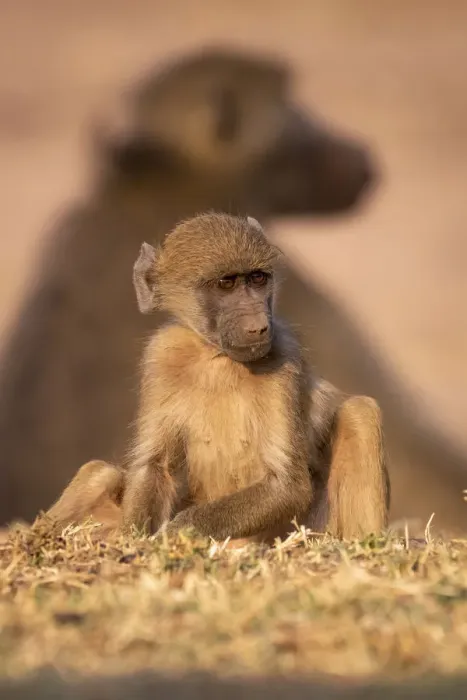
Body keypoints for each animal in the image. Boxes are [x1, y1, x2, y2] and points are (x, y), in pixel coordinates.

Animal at [0, 48, 464, 533]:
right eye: (225, 283)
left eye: (258, 279)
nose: (362, 159)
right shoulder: (164, 353)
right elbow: (155, 465)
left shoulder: (287, 345)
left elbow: (287, 482)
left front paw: (177, 533)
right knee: (101, 471)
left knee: (358, 412)